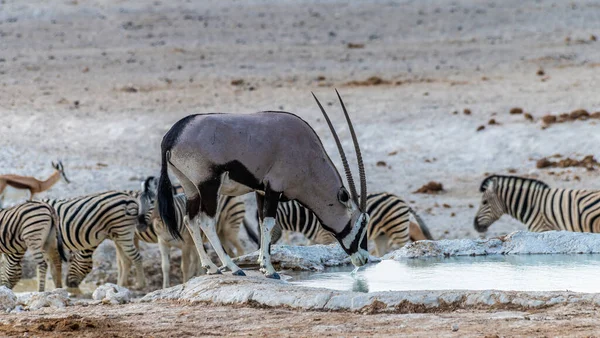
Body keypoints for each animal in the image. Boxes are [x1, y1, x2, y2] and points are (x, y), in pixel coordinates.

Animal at [157, 88, 368, 278]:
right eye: (362, 222)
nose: (364, 259)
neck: (307, 156)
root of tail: (173, 134)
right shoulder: (274, 188)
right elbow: (269, 223)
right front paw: (270, 270)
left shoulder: (261, 191)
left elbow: (261, 223)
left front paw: (261, 264)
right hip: (208, 184)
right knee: (206, 221)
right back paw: (233, 268)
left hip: (191, 187)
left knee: (190, 220)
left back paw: (212, 267)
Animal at [247, 193, 432, 256]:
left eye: (262, 229)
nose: (259, 248)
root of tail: (401, 200)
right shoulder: (315, 239)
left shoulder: (327, 238)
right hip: (382, 235)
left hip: (397, 228)